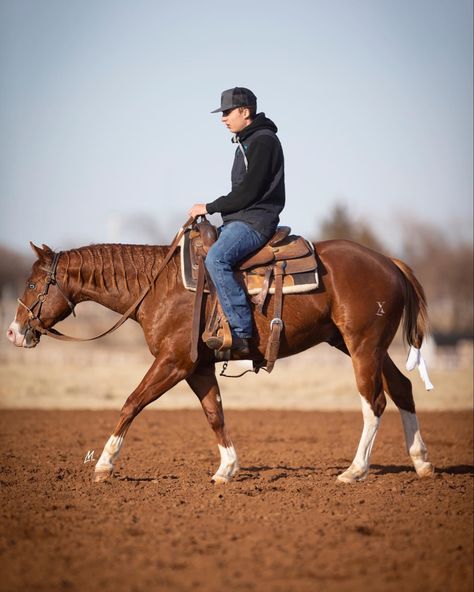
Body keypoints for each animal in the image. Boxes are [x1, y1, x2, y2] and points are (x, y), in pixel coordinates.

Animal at [6, 238, 434, 484]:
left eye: (32, 283)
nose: (12, 332)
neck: (161, 287)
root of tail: (390, 263)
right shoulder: (197, 368)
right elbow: (215, 413)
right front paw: (227, 468)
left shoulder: (173, 362)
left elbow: (132, 403)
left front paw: (104, 464)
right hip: (360, 346)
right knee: (402, 388)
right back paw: (421, 462)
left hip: (362, 346)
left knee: (374, 401)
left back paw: (355, 470)